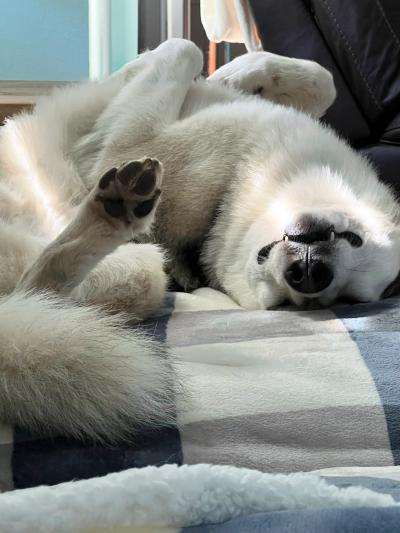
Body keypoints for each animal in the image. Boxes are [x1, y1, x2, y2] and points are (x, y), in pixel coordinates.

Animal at [0, 38, 400, 440]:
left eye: (287, 306)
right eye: (355, 239)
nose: (312, 274)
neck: (232, 191)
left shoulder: (127, 148)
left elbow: (183, 50)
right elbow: (321, 82)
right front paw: (237, 74)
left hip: (129, 267)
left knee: (42, 286)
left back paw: (110, 215)